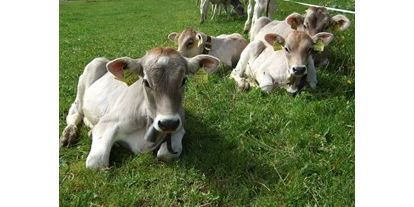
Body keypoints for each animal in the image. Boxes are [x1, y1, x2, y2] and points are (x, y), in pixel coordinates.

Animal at [58, 47, 222, 170]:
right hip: (89, 74)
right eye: (146, 82)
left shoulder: (179, 125)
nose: (168, 123)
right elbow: (96, 163)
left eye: (184, 80)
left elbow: (167, 154)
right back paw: (68, 135)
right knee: (74, 114)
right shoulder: (107, 124)